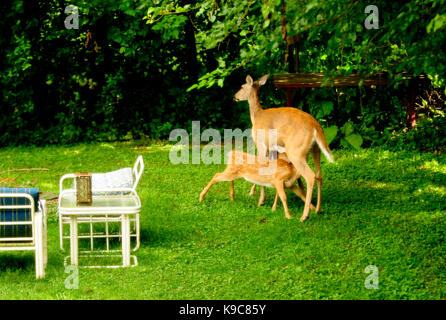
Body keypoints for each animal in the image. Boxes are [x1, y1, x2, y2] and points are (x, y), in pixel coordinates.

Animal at [235, 74, 332, 221]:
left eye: (241, 86)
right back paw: (317, 209)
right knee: (319, 175)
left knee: (310, 176)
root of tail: (316, 127)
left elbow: (260, 165)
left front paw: (259, 199)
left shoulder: (261, 144)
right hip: (315, 150)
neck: (256, 116)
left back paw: (304, 215)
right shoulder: (273, 149)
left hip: (296, 151)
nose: (235, 96)